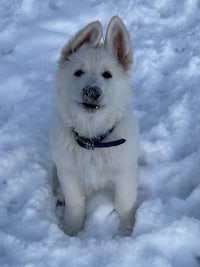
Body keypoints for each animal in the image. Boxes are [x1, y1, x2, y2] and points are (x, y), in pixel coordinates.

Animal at [50, 15, 139, 236]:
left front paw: (127, 231)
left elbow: (124, 203)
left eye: (107, 75)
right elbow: (75, 203)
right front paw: (70, 230)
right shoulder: (68, 173)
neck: (92, 140)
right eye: (78, 72)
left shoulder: (125, 173)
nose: (92, 92)